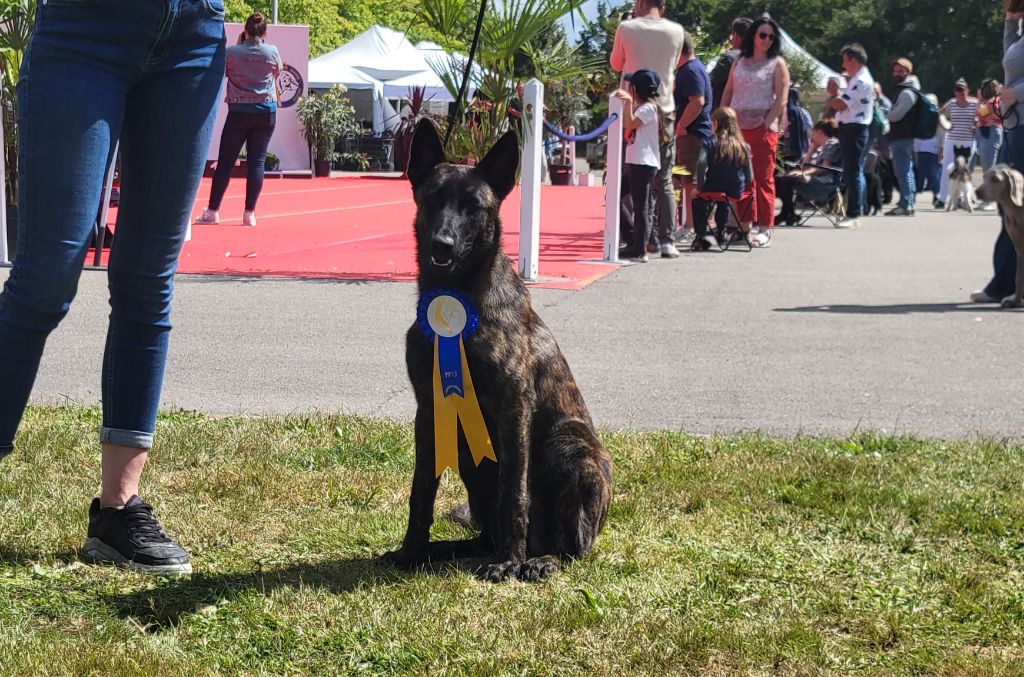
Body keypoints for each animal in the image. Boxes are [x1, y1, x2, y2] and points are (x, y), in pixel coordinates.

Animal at [380, 120, 610, 581]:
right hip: (468, 454)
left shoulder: (514, 407)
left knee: (573, 547)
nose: (443, 244)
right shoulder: (429, 411)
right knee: (481, 536)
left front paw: (509, 562)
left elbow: (514, 493)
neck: (458, 296)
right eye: (433, 199)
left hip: (569, 445)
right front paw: (411, 552)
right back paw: (448, 551)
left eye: (474, 207)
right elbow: (421, 492)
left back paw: (537, 559)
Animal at [974, 164, 1024, 307]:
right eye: (984, 177)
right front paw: (1015, 301)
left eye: (996, 179)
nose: (977, 192)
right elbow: (1018, 277)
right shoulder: (1019, 248)